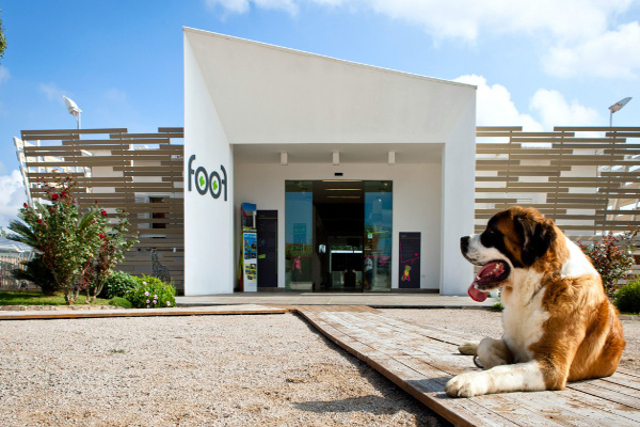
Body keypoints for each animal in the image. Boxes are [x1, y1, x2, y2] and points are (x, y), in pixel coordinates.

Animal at [444, 206, 624, 400]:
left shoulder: (552, 366)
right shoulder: (512, 343)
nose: (462, 239)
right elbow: (486, 344)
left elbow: (503, 370)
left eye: (491, 233)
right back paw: (470, 345)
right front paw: (497, 360)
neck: (539, 286)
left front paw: (471, 379)